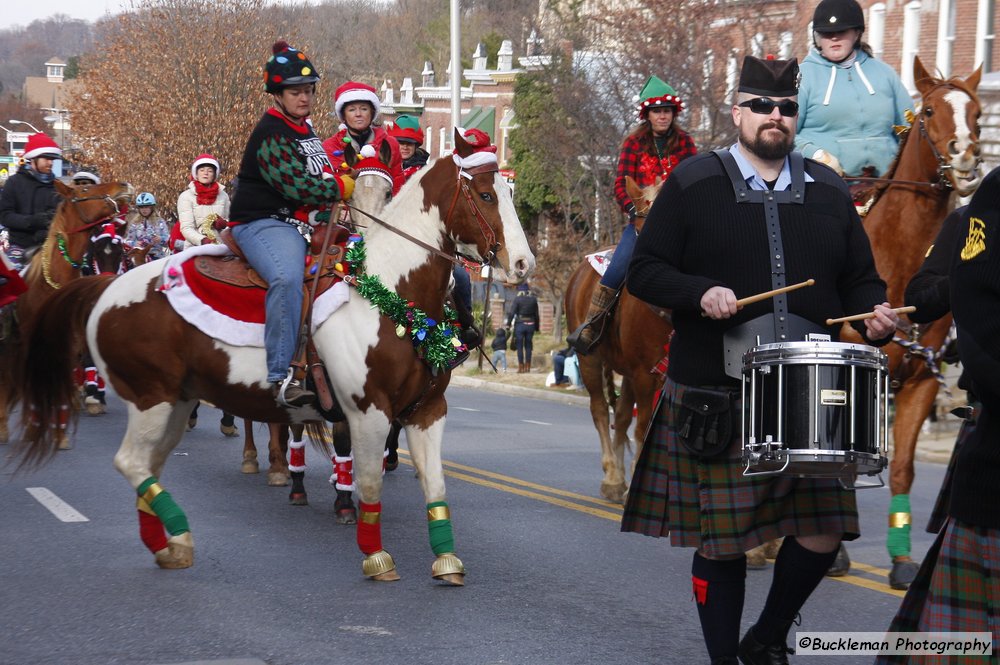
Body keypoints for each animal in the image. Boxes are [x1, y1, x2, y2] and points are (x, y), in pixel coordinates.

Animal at [17, 128, 532, 580]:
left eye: (508, 192)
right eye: (485, 195)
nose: (524, 264)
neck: (387, 291)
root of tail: (107, 286)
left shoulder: (427, 411)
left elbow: (435, 483)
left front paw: (446, 562)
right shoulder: (366, 411)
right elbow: (368, 484)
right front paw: (375, 556)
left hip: (176, 399)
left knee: (149, 465)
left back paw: (170, 544)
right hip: (150, 396)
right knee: (131, 463)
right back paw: (184, 528)